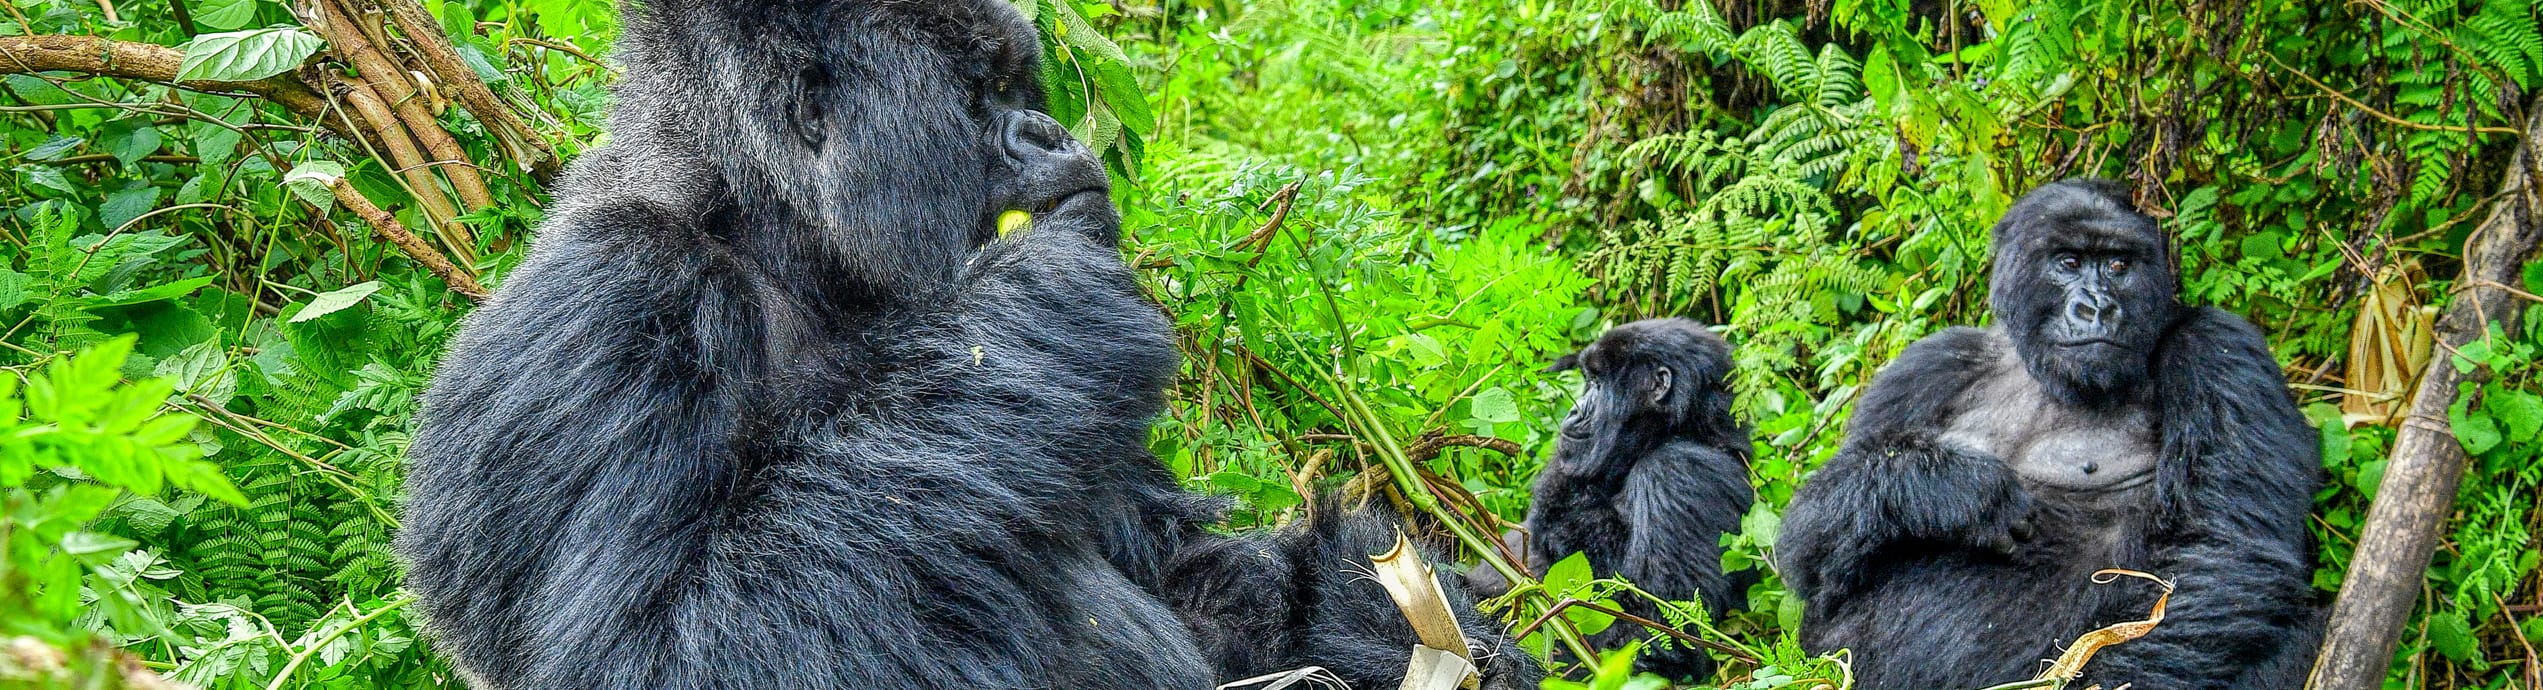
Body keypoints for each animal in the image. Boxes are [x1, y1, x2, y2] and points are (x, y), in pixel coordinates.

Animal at [394, 2, 1535, 687]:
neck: (779, 228)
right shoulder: (614, 306)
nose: (1053, 135)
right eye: (982, 91)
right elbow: (663, 652)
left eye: (1020, 83)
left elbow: (1193, 567)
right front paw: (1037, 303)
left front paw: (1396, 622)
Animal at [1769, 179, 2329, 690]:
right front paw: (1950, 489)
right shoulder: (1929, 365)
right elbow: (1812, 558)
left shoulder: (2221, 349)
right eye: (2068, 262)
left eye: (2119, 265)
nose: (2097, 308)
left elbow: (2227, 551)